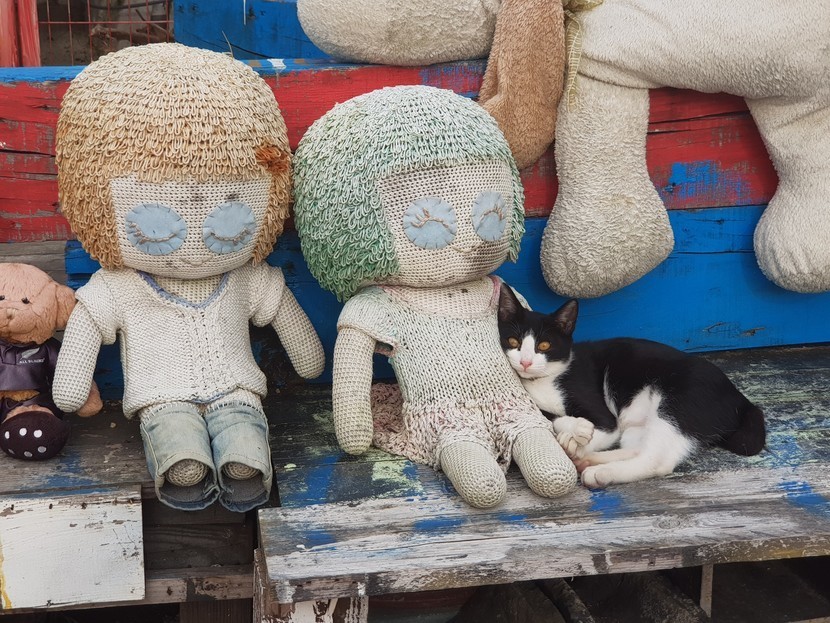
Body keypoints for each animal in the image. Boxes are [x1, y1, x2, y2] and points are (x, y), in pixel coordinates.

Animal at [497, 283, 766, 488]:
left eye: (544, 345)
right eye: (513, 341)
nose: (526, 362)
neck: (545, 379)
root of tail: (740, 399)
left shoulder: (599, 409)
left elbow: (604, 428)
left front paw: (576, 441)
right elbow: (549, 417)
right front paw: (575, 431)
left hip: (680, 402)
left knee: (657, 460)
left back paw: (598, 471)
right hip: (642, 424)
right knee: (639, 447)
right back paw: (592, 461)